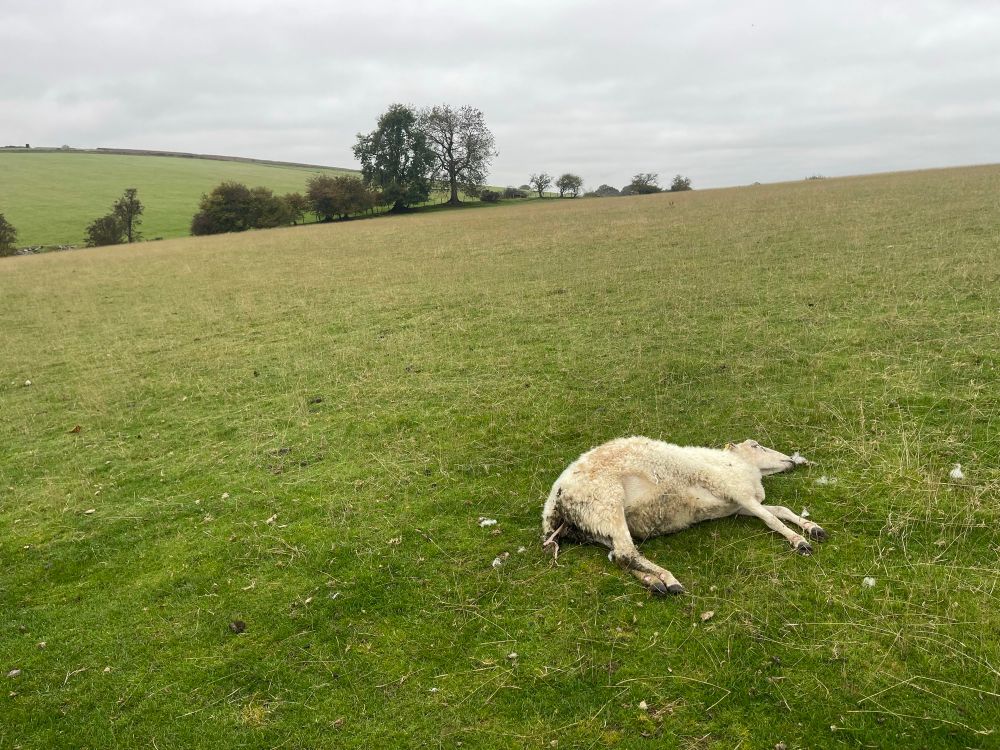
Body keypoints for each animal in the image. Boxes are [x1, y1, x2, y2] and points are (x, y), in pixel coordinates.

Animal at [541, 437, 826, 595]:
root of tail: (555, 503)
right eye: (757, 445)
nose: (791, 460)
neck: (741, 466)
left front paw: (812, 527)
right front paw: (799, 541)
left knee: (619, 557)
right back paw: (668, 580)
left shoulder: (739, 505)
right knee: (626, 553)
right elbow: (773, 519)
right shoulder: (738, 493)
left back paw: (653, 583)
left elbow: (780, 511)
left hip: (594, 525)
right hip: (607, 503)